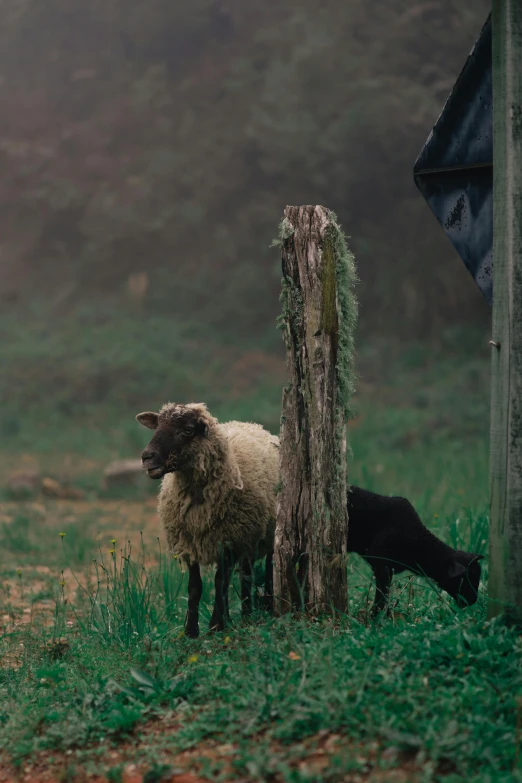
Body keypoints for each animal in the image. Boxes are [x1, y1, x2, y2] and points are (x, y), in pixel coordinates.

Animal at [136, 404, 278, 636]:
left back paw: (258, 609)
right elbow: (196, 587)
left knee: (265, 570)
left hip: (264, 535)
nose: (147, 457)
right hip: (246, 539)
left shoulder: (229, 540)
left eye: (187, 430)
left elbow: (220, 582)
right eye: (157, 426)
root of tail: (252, 425)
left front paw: (215, 626)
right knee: (245, 575)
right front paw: (191, 631)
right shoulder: (190, 542)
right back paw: (241, 615)